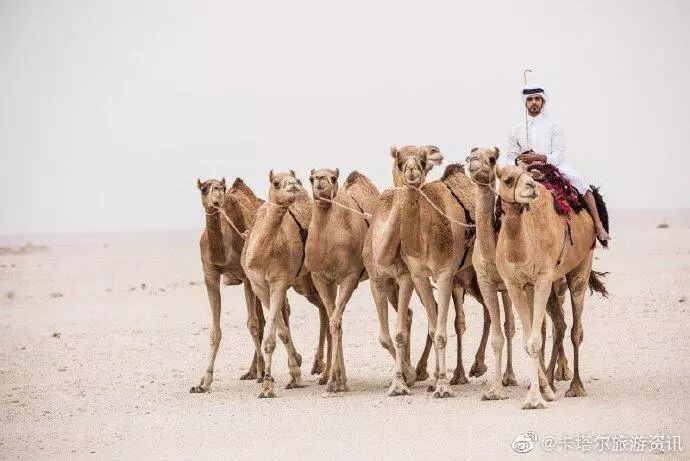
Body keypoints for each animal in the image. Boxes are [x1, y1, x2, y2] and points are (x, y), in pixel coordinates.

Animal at [191, 176, 266, 392]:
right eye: (204, 188)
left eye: (222, 187)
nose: (217, 192)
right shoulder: (210, 276)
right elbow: (215, 331)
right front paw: (204, 381)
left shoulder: (247, 277)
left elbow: (252, 324)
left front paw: (261, 374)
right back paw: (251, 371)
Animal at [239, 171, 330, 398]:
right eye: (276, 182)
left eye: (294, 180)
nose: (295, 185)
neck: (261, 255)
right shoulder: (260, 287)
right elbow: (282, 332)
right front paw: (294, 374)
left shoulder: (278, 282)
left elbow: (272, 338)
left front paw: (267, 386)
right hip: (301, 281)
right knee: (323, 309)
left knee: (327, 308)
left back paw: (325, 372)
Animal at [306, 167, 382, 390]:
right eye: (311, 178)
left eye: (333, 177)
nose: (320, 180)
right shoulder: (322, 279)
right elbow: (334, 321)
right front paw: (337, 379)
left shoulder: (350, 277)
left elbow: (335, 321)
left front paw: (335, 380)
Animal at [378, 145, 486, 396]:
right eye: (400, 160)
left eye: (422, 158)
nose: (412, 171)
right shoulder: (418, 275)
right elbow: (433, 327)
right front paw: (427, 380)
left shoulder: (444, 274)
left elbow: (440, 333)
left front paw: (442, 386)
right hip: (467, 276)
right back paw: (466, 373)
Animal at [492, 164, 604, 408]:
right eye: (507, 179)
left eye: (529, 176)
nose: (531, 187)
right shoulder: (515, 284)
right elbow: (529, 339)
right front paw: (543, 391)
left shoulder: (542, 278)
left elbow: (534, 340)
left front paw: (535, 399)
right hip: (550, 283)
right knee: (559, 325)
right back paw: (552, 381)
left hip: (581, 266)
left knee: (576, 329)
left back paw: (576, 386)